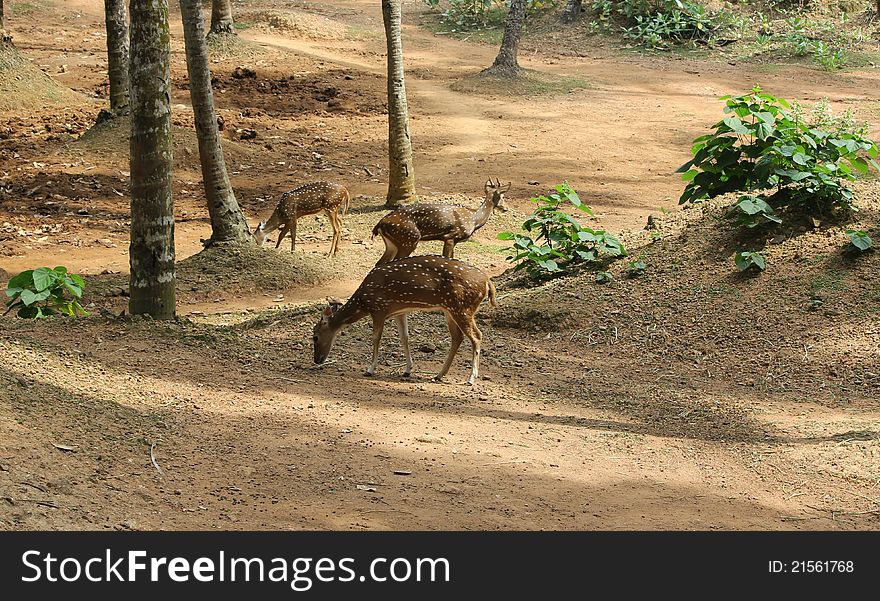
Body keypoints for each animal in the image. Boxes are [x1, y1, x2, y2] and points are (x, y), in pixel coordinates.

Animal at [312, 253, 498, 384]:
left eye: (315, 336)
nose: (316, 360)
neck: (363, 302)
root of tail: (488, 283)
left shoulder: (379, 308)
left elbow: (376, 338)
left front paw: (370, 369)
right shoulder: (399, 312)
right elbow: (405, 338)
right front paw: (408, 370)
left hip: (462, 308)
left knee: (477, 336)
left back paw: (471, 378)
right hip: (450, 310)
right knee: (457, 337)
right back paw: (438, 375)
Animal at [370, 176, 508, 264]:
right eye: (502, 196)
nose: (506, 208)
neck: (474, 219)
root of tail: (379, 225)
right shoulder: (450, 237)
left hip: (392, 243)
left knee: (380, 263)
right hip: (409, 239)